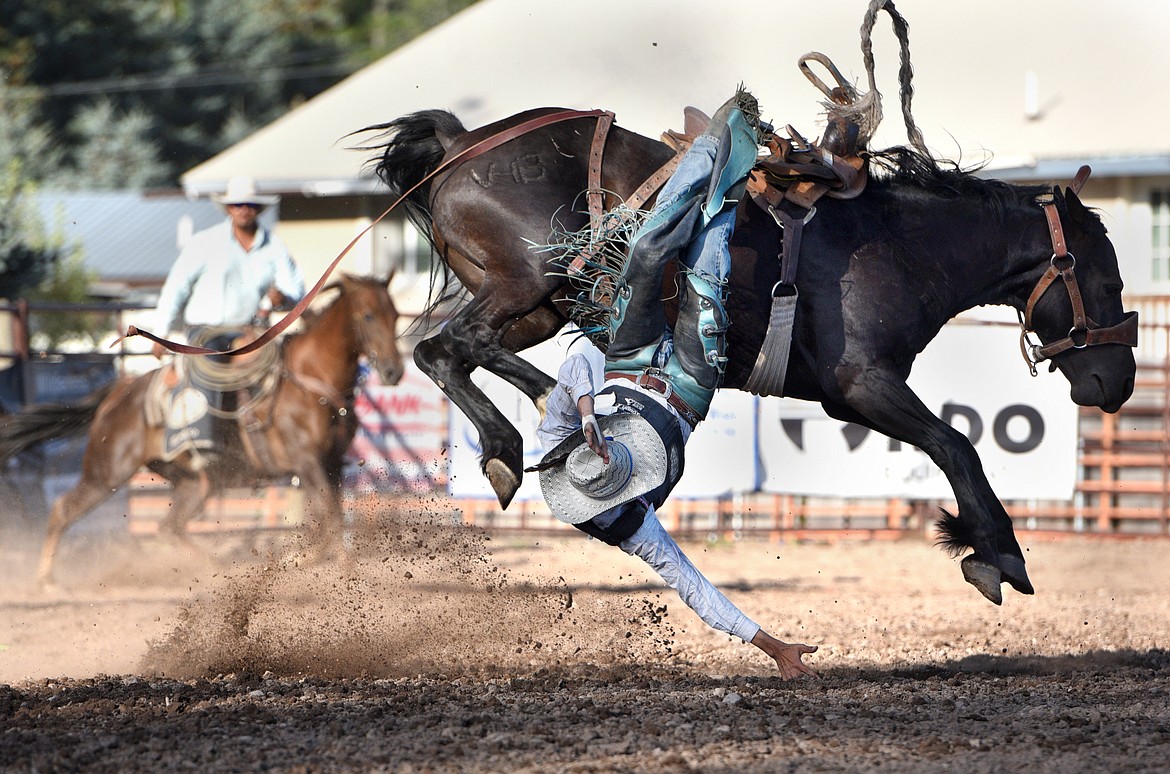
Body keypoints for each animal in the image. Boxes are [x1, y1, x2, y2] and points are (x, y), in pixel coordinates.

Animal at [0, 275, 404, 584]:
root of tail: (117, 394)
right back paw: (47, 582)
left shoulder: (332, 464)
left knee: (169, 528)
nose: (393, 371)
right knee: (63, 510)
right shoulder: (308, 463)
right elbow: (330, 524)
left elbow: (331, 522)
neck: (310, 380)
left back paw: (216, 567)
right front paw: (305, 562)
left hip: (196, 483)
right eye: (368, 316)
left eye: (396, 315)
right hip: (106, 474)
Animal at [362, 109, 1132, 607]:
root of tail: (463, 143)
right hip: (530, 280)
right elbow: (956, 444)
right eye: (1107, 281)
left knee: (442, 350)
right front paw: (997, 551)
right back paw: (559, 429)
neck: (900, 242)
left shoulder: (848, 396)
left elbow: (949, 444)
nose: (1117, 382)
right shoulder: (864, 384)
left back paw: (510, 446)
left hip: (537, 303)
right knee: (460, 344)